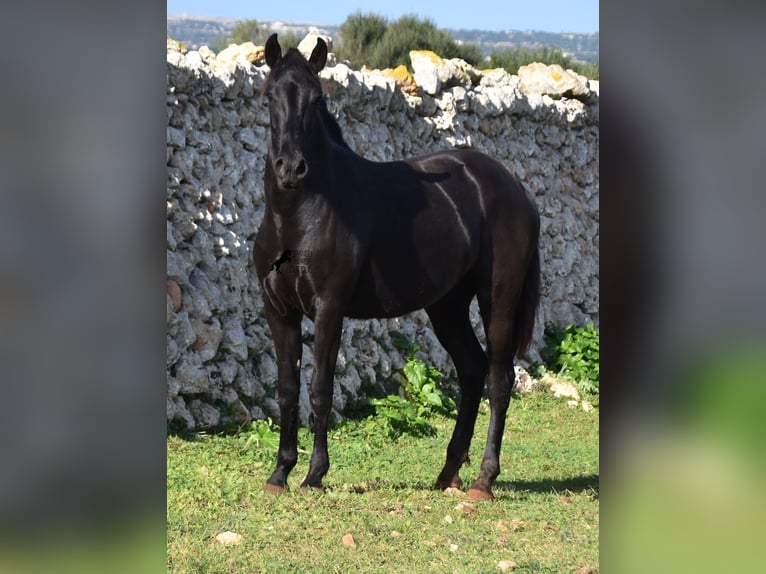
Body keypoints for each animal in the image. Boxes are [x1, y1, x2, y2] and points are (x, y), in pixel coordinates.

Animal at [252, 35, 540, 500]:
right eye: (269, 96)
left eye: (316, 100)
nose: (291, 169)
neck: (298, 215)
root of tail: (514, 187)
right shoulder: (279, 311)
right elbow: (286, 390)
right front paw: (280, 473)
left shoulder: (330, 308)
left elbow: (319, 390)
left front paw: (314, 475)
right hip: (447, 307)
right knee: (472, 371)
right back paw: (448, 473)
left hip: (498, 300)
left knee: (500, 380)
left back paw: (484, 480)